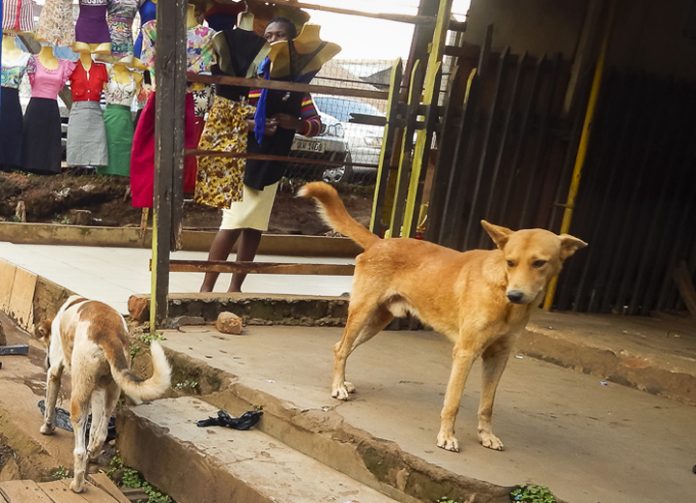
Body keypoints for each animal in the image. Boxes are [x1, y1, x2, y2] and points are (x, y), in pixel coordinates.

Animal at [34, 296, 172, 492]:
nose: (45, 361)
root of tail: (109, 334)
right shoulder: (99, 390)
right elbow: (95, 428)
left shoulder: (54, 373)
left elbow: (49, 406)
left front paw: (47, 428)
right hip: (111, 390)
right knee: (100, 433)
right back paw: (93, 453)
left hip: (80, 392)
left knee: (80, 449)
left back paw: (77, 484)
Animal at [300, 183, 588, 454]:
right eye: (510, 262)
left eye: (539, 263)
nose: (515, 295)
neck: (502, 295)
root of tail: (380, 242)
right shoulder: (465, 352)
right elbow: (453, 402)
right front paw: (447, 437)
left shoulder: (499, 356)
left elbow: (487, 404)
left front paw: (486, 436)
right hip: (362, 312)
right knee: (341, 348)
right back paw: (338, 387)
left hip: (377, 322)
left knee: (340, 347)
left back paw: (343, 382)